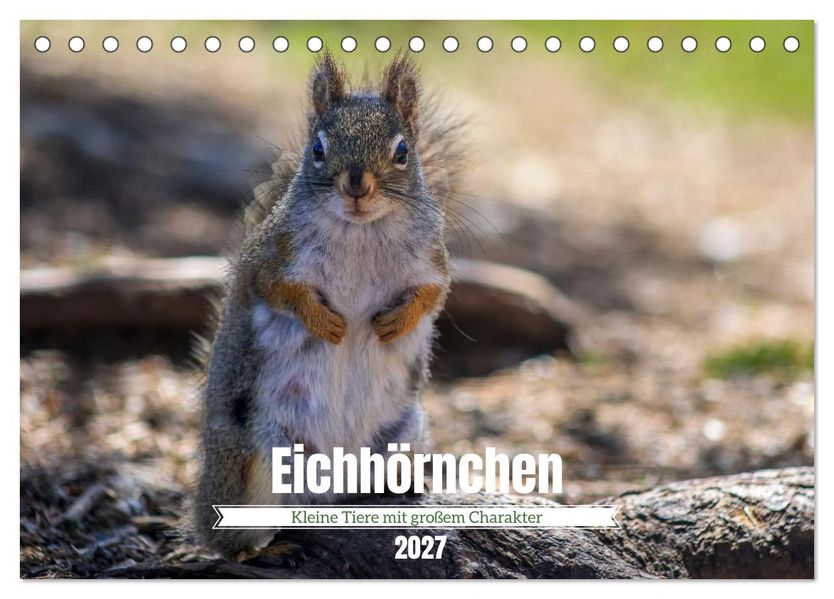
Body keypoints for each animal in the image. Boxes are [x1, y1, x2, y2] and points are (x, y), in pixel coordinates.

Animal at [192, 51, 465, 562]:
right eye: (318, 148)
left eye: (403, 150)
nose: (356, 185)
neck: (361, 229)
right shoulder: (270, 259)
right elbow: (282, 292)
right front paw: (329, 324)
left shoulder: (433, 264)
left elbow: (432, 295)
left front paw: (394, 323)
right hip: (257, 463)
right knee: (230, 540)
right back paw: (262, 551)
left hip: (400, 437)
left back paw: (397, 490)